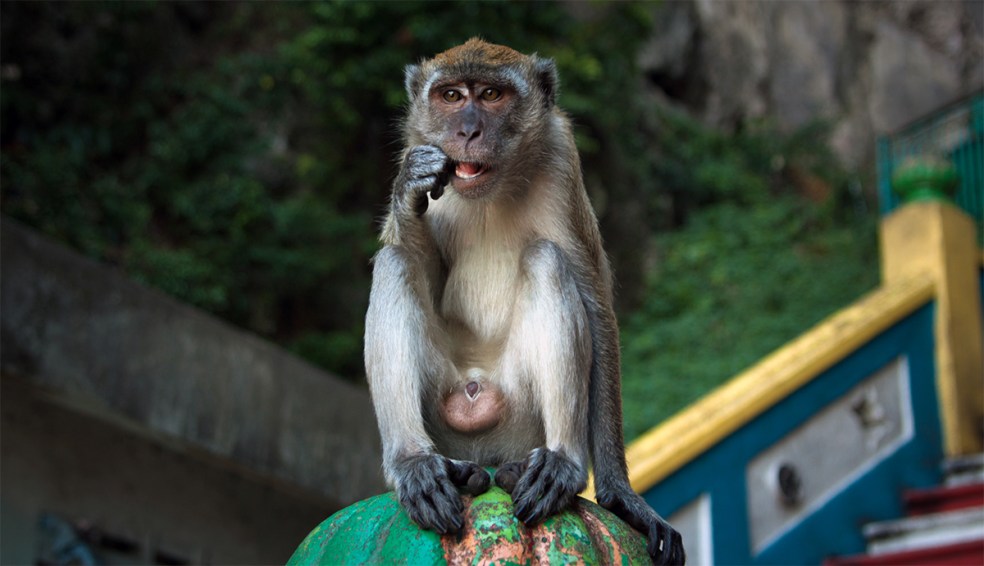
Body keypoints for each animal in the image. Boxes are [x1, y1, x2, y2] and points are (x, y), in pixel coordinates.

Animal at [364, 38, 685, 565]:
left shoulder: (562, 157)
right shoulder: (419, 151)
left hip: (519, 419)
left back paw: (559, 465)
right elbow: (416, 259)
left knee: (546, 259)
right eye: (451, 95)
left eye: (491, 94)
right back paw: (418, 465)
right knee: (394, 263)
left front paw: (621, 496)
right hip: (446, 423)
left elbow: (595, 305)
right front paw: (411, 188)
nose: (467, 130)